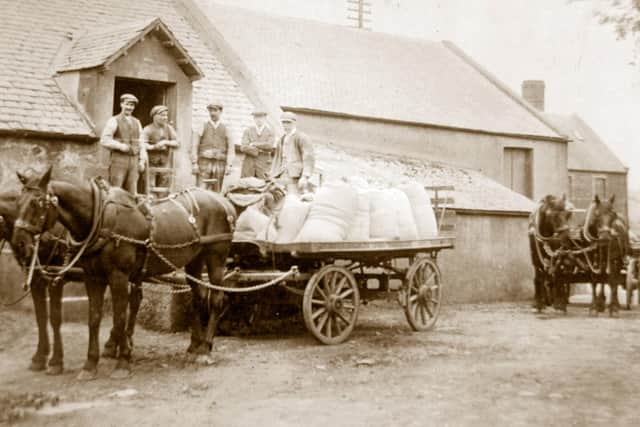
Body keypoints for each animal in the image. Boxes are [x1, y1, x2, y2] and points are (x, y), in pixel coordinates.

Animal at [11, 167, 235, 382]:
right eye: (17, 202)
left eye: (36, 202)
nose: (19, 243)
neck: (101, 218)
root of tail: (223, 201)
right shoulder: (92, 278)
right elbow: (94, 318)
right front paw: (90, 364)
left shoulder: (118, 276)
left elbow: (119, 318)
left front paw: (122, 362)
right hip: (194, 261)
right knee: (198, 297)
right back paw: (195, 346)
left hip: (216, 258)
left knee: (217, 299)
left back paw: (205, 349)